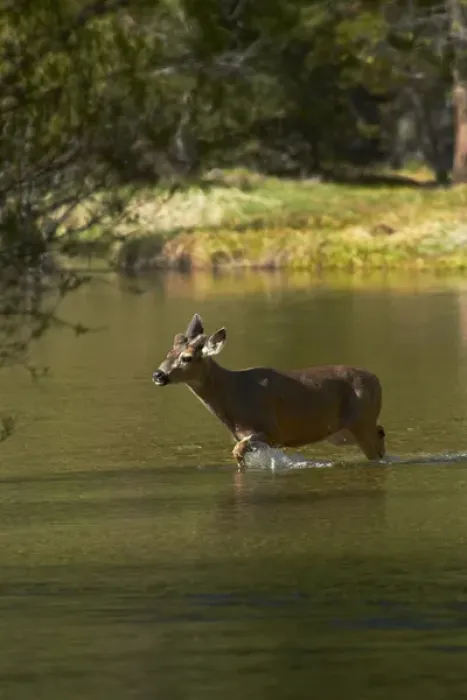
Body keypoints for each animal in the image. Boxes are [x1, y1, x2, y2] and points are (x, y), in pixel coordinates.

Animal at [152, 313, 386, 469]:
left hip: (362, 422)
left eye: (187, 358)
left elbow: (238, 451)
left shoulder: (272, 429)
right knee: (381, 432)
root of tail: (377, 380)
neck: (232, 394)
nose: (158, 375)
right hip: (343, 433)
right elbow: (238, 453)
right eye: (169, 352)